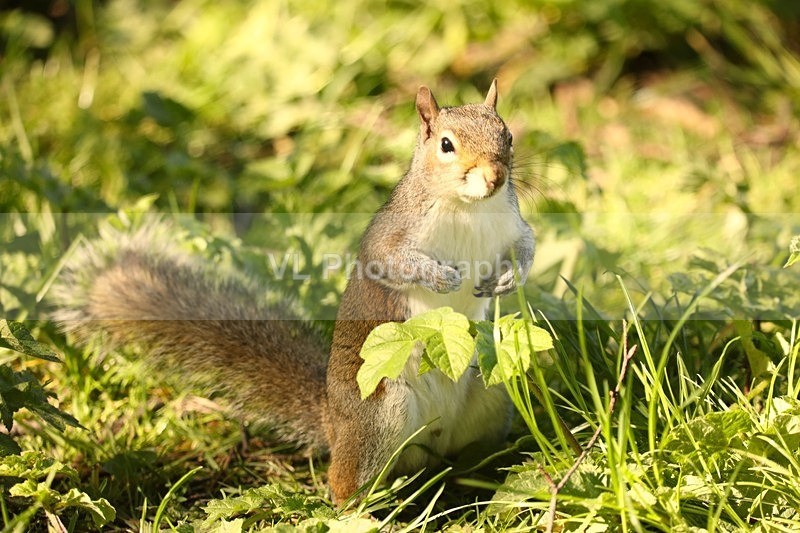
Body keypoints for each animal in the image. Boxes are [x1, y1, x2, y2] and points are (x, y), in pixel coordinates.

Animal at [52, 80, 535, 505]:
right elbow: (390, 260)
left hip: (492, 388)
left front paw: (507, 279)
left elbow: (526, 246)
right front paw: (440, 277)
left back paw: (492, 475)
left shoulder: (513, 223)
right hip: (380, 413)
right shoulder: (392, 233)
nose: (495, 177)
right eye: (446, 145)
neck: (467, 209)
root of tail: (334, 423)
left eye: (508, 135)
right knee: (344, 486)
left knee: (466, 455)